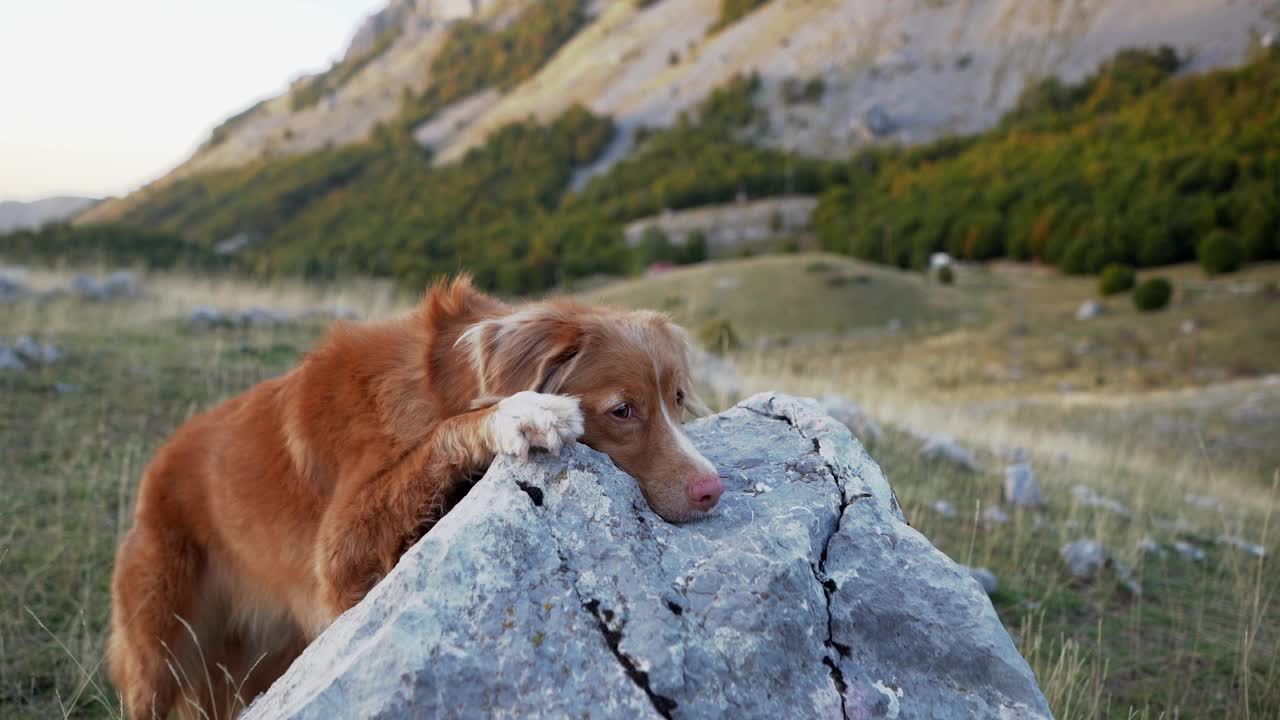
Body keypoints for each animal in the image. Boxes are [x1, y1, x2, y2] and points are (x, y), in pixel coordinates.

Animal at [104, 275, 727, 717]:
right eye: (622, 410)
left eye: (677, 398)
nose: (712, 489)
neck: (437, 384)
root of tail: (157, 465)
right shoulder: (338, 554)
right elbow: (443, 437)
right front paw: (516, 413)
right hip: (158, 648)